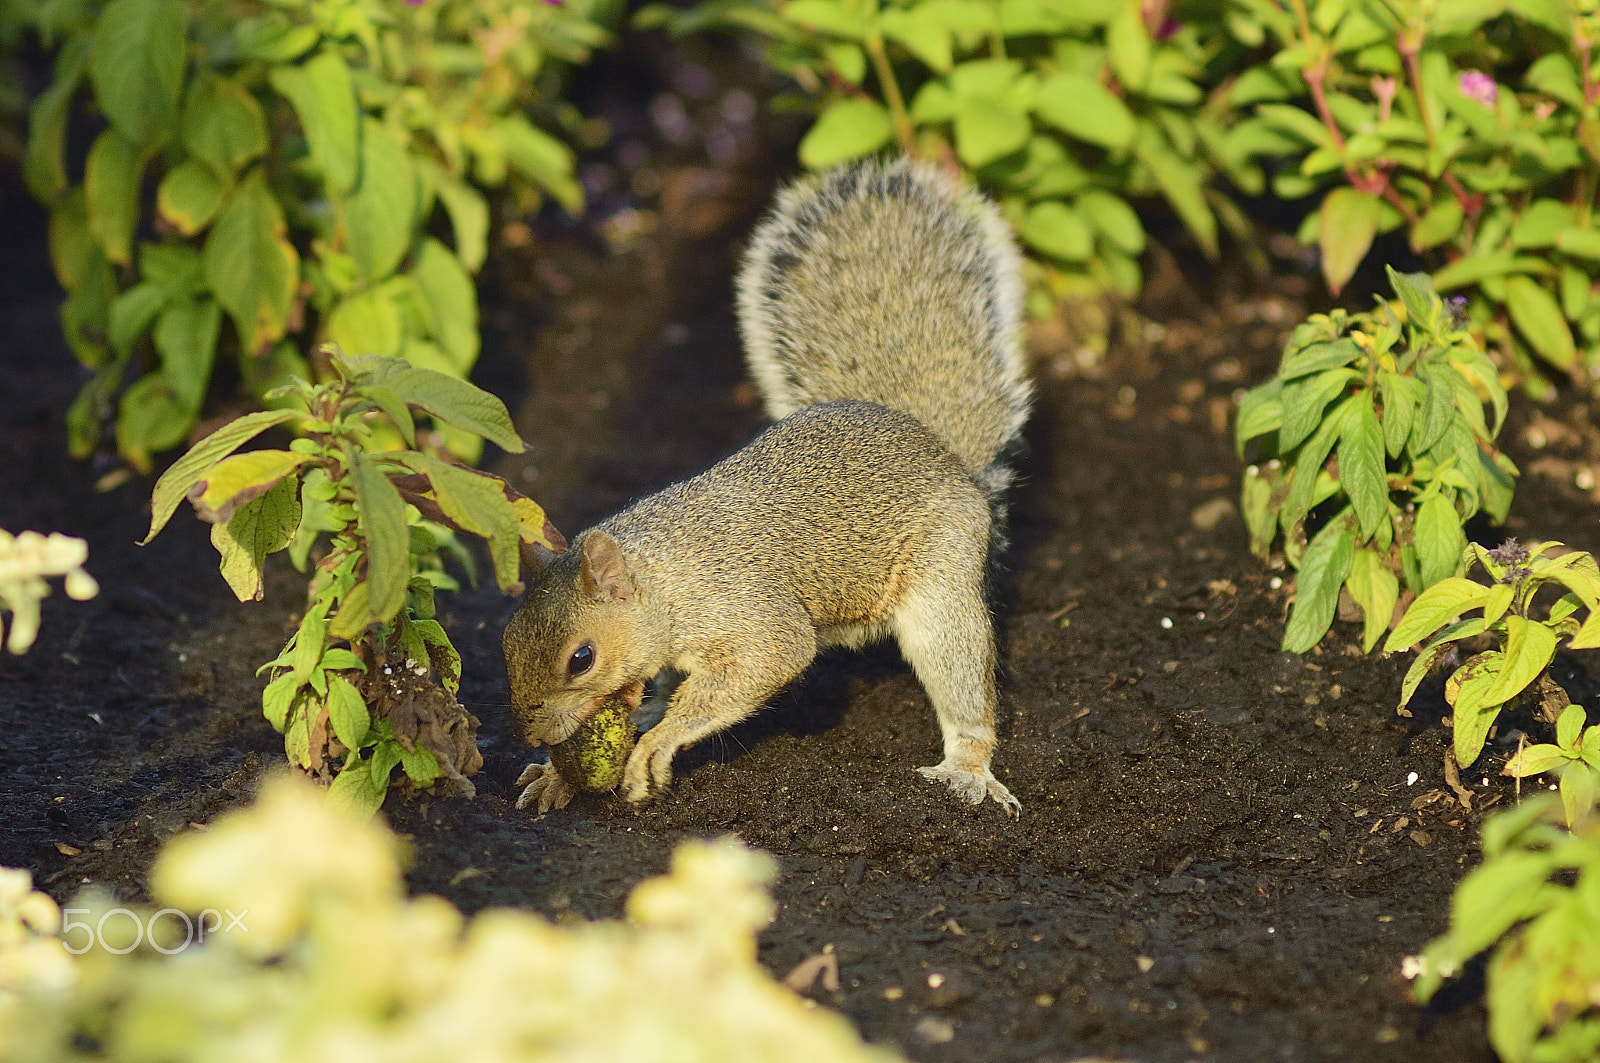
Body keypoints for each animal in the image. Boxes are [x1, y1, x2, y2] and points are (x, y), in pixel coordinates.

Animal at [502, 153, 1036, 816]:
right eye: (506, 641)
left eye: (582, 659)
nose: (532, 732)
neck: (662, 577)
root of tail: (941, 452)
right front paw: (559, 771)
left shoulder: (749, 612)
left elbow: (767, 662)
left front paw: (657, 742)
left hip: (942, 577)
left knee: (960, 673)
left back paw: (967, 767)